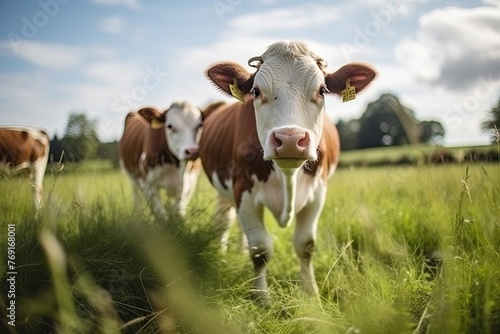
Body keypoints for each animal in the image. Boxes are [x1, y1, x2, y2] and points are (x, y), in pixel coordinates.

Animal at [199, 40, 376, 302]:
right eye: (256, 91)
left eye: (322, 90)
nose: (290, 139)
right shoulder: (243, 189)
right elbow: (260, 248)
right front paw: (262, 298)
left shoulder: (318, 192)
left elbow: (306, 245)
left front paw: (311, 295)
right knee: (224, 220)